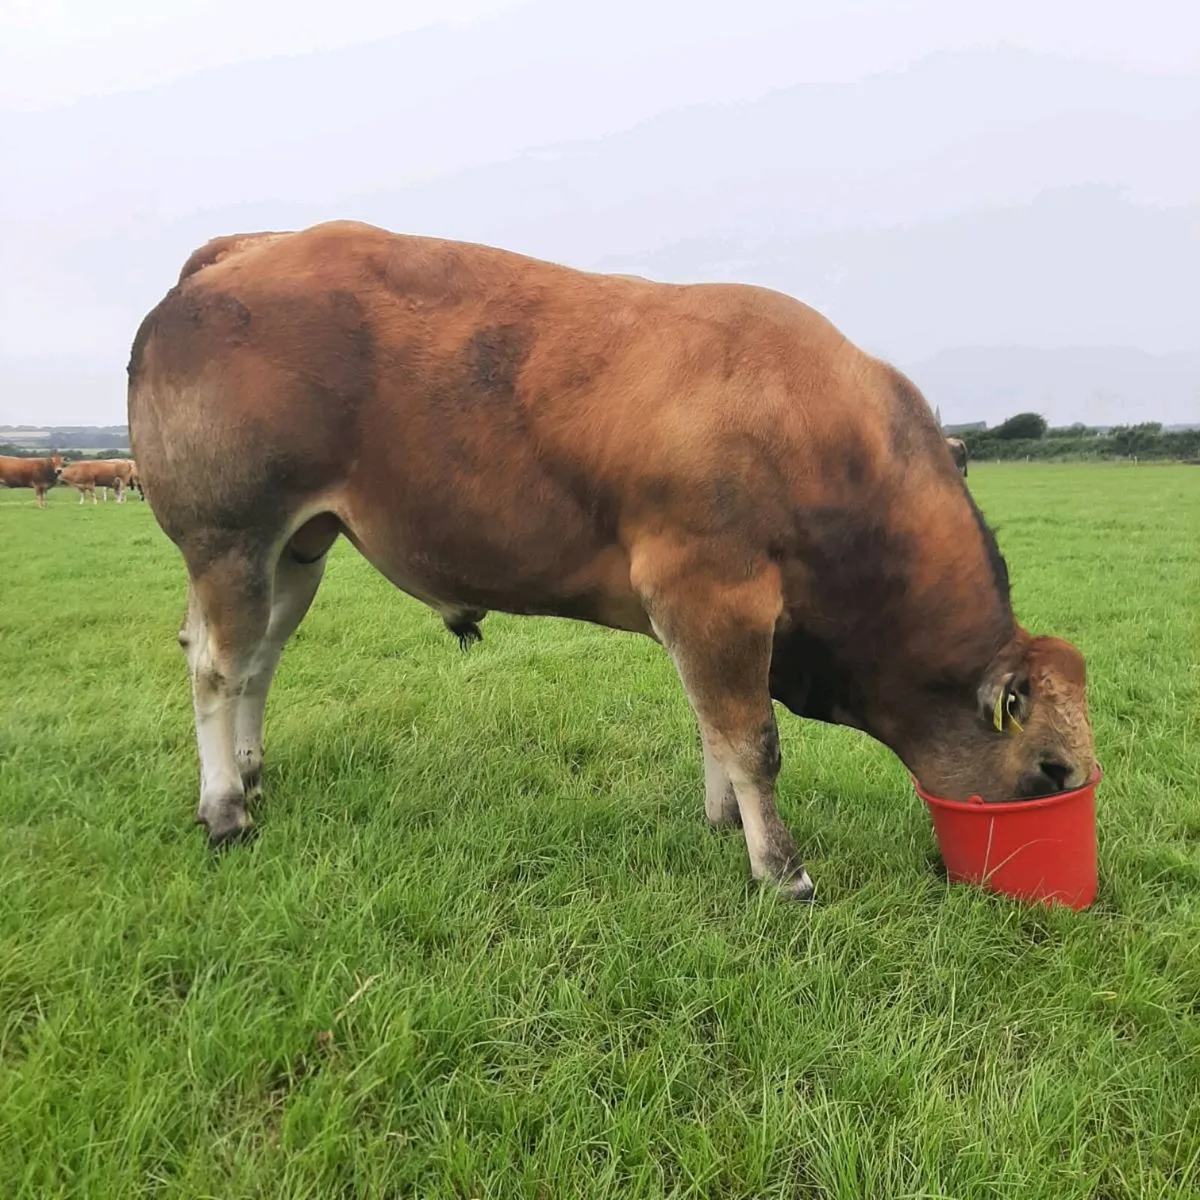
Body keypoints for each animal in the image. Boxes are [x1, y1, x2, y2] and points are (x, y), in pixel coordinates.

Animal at [127, 221, 1095, 901]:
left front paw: (720, 823)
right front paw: (780, 870)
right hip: (231, 538)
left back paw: (252, 775)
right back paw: (224, 810)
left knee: (258, 662)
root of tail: (242, 251)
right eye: (1053, 771)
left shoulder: (711, 615)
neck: (828, 439)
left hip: (298, 547)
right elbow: (750, 738)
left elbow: (713, 725)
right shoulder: (712, 594)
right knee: (217, 667)